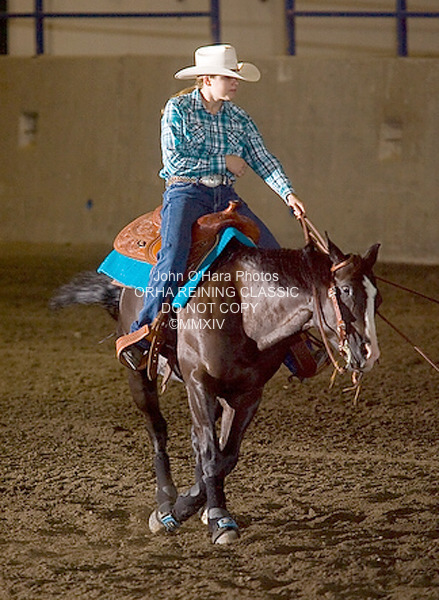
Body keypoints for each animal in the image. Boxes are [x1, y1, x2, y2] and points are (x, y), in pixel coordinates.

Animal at [51, 236, 381, 544]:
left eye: (377, 300)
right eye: (344, 291)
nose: (369, 354)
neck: (244, 313)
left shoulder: (248, 394)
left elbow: (226, 456)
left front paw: (204, 507)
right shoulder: (199, 383)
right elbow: (211, 454)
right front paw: (209, 518)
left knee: (198, 439)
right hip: (139, 375)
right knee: (158, 430)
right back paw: (165, 499)